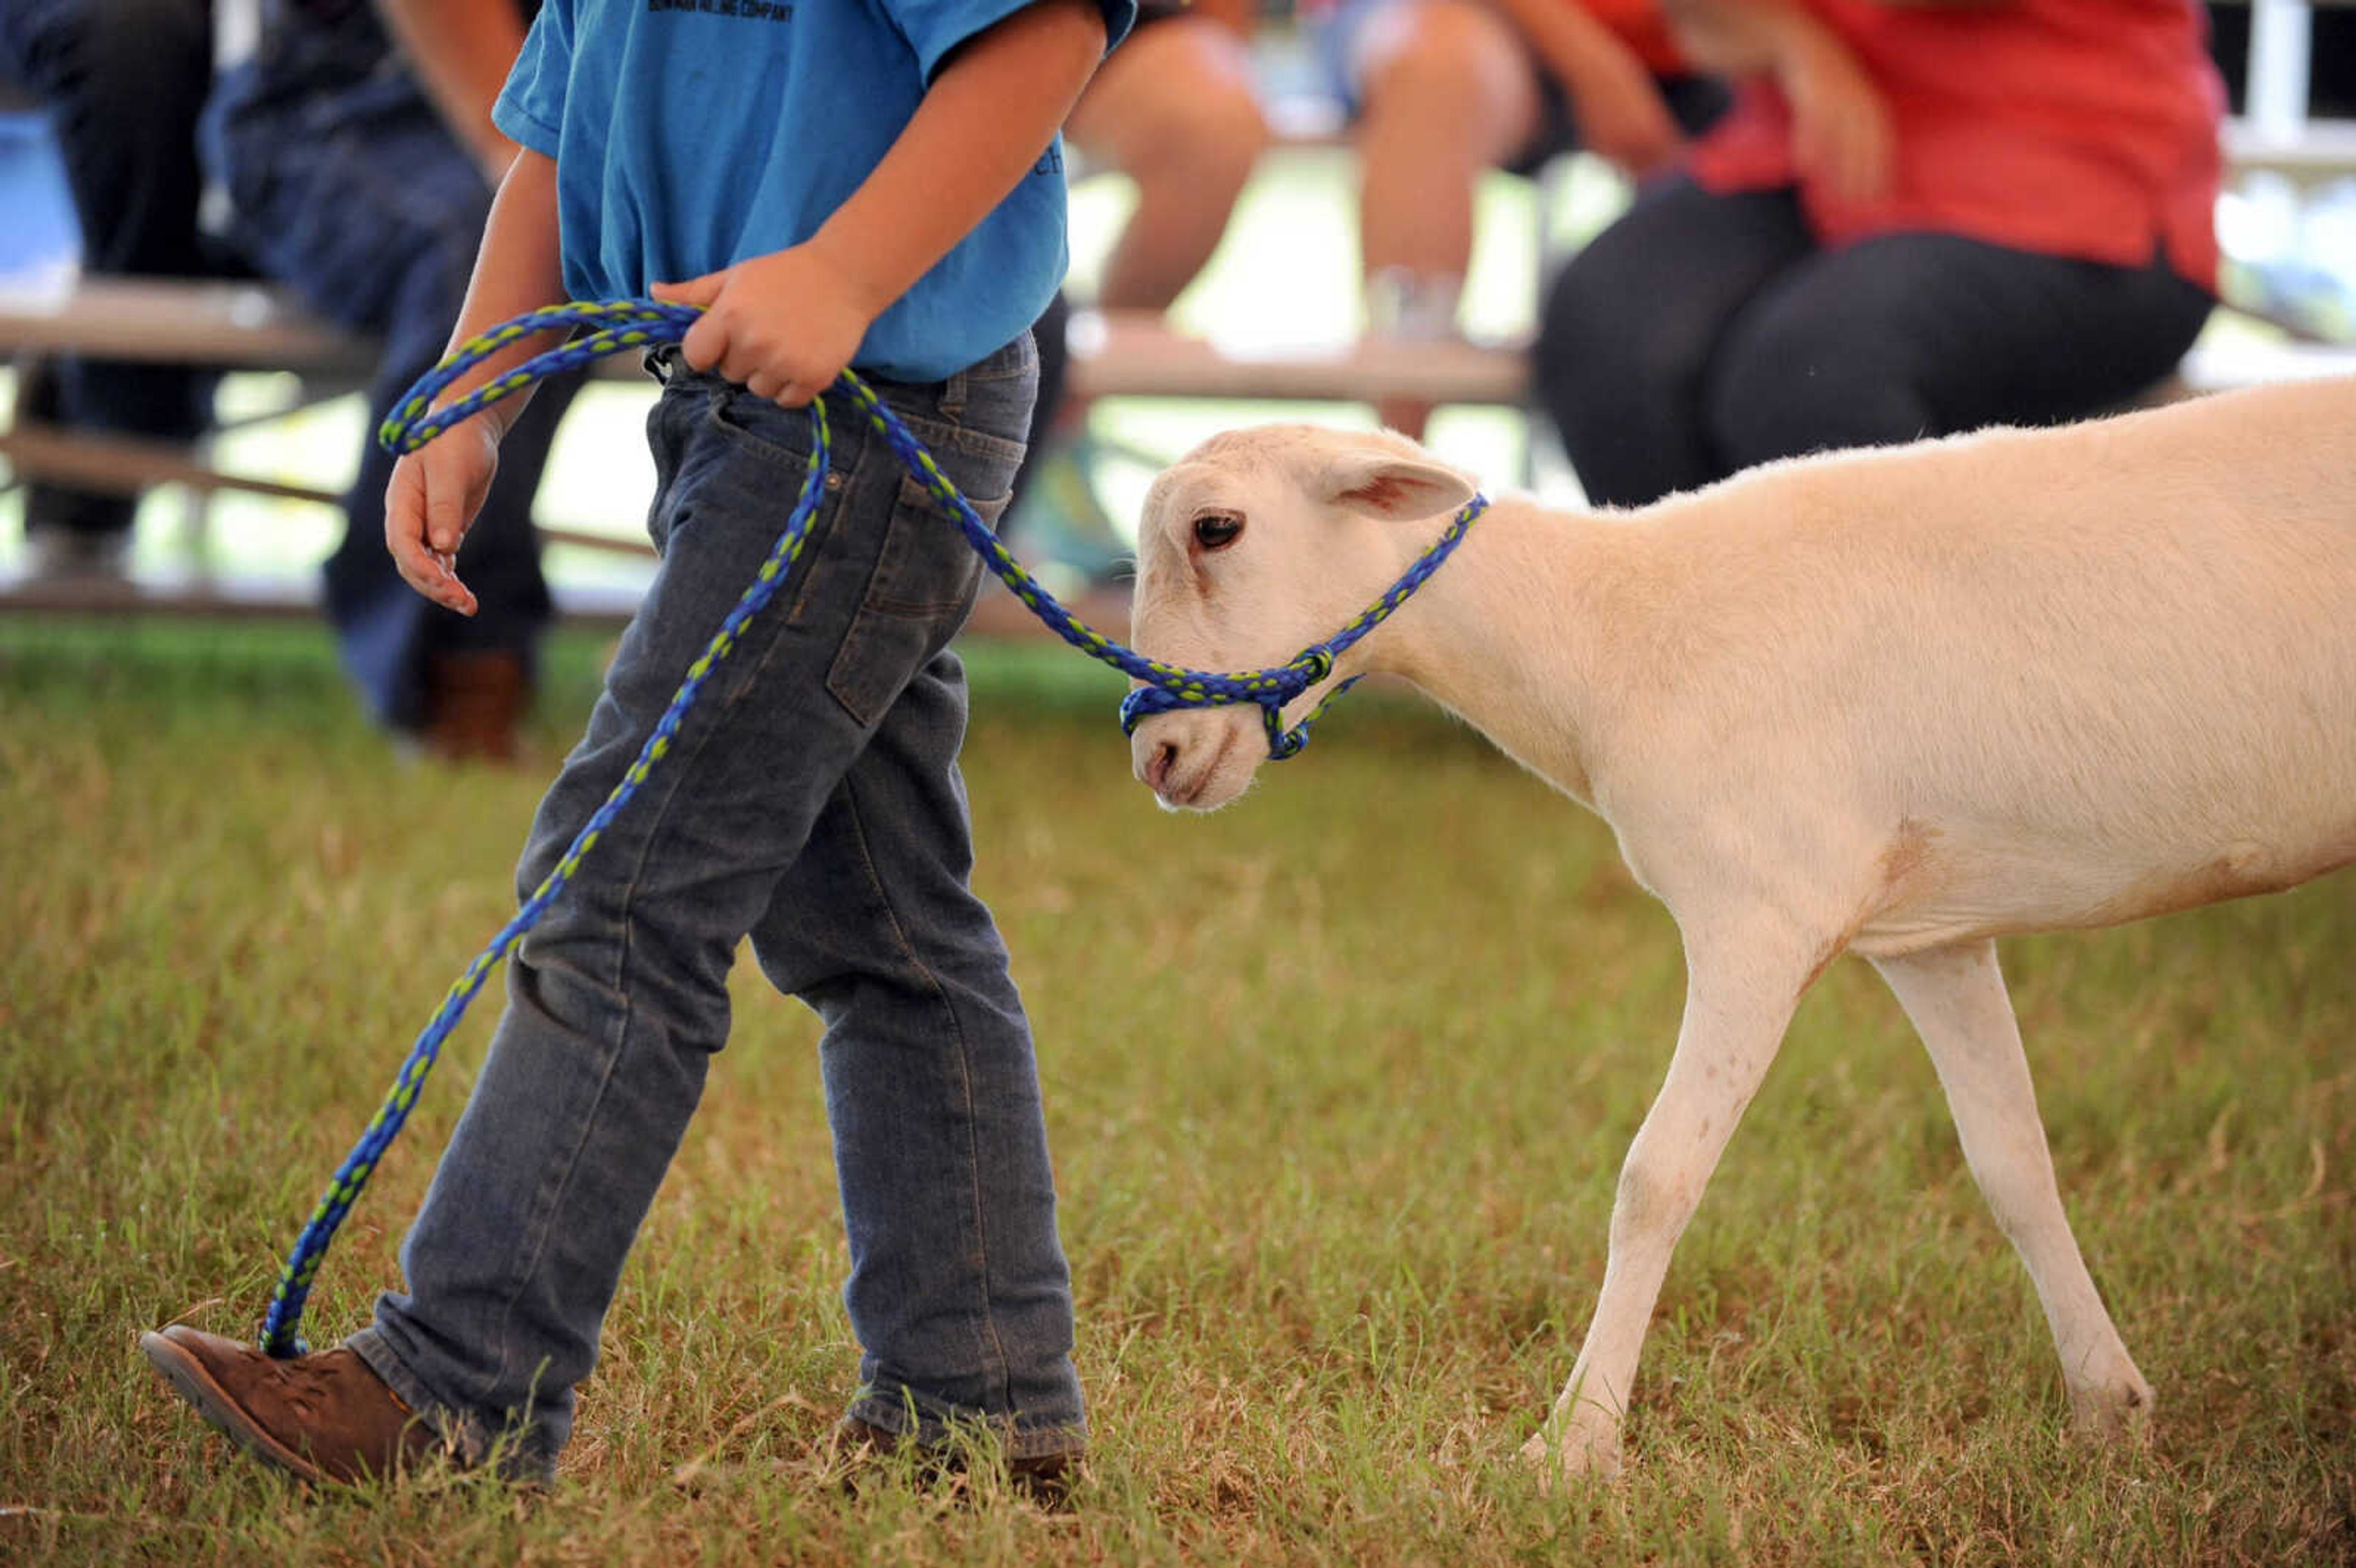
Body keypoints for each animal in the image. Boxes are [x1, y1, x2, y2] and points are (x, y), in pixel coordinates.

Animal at [1121, 379, 2356, 1478]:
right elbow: (2014, 1166)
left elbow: (1656, 1178)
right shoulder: (1928, 936)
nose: (1159, 758)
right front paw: (2109, 1412)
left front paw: (1571, 1450)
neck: (1603, 632)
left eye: (1218, 528)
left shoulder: (1758, 914)